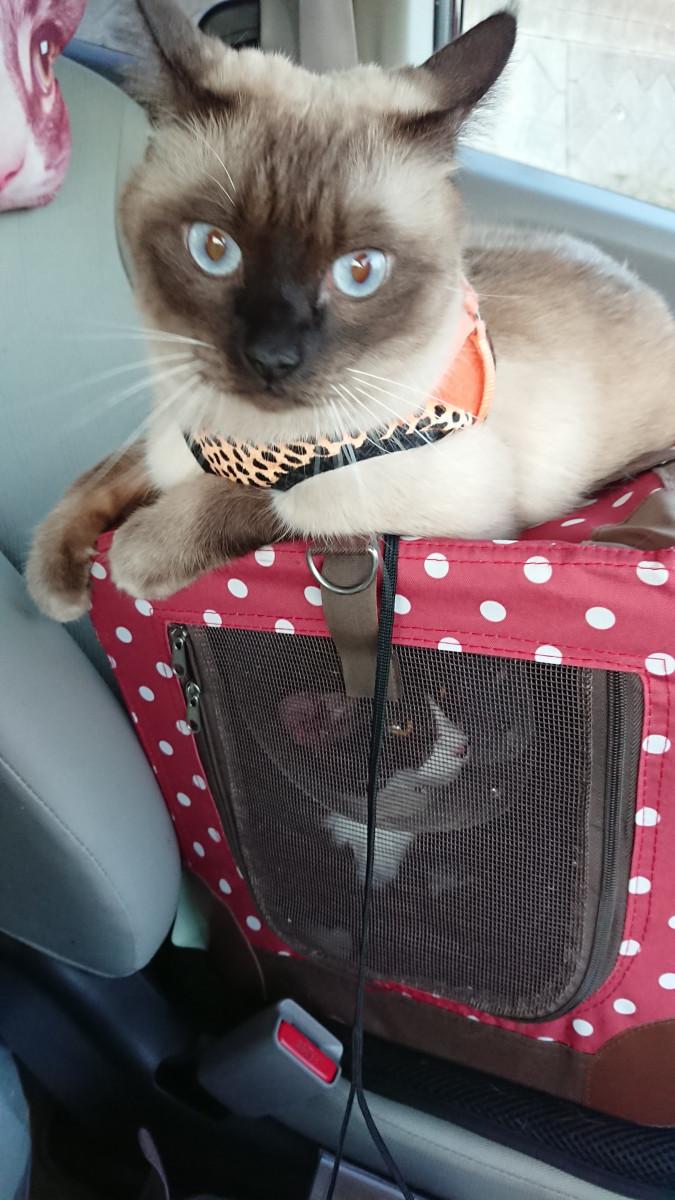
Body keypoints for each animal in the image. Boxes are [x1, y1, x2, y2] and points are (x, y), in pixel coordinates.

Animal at [26, 0, 675, 620]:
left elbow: (288, 500)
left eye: (360, 270)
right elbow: (102, 473)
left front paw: (140, 550)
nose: (273, 358)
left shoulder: (445, 507)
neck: (235, 440)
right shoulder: (169, 420)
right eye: (214, 248)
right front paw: (53, 580)